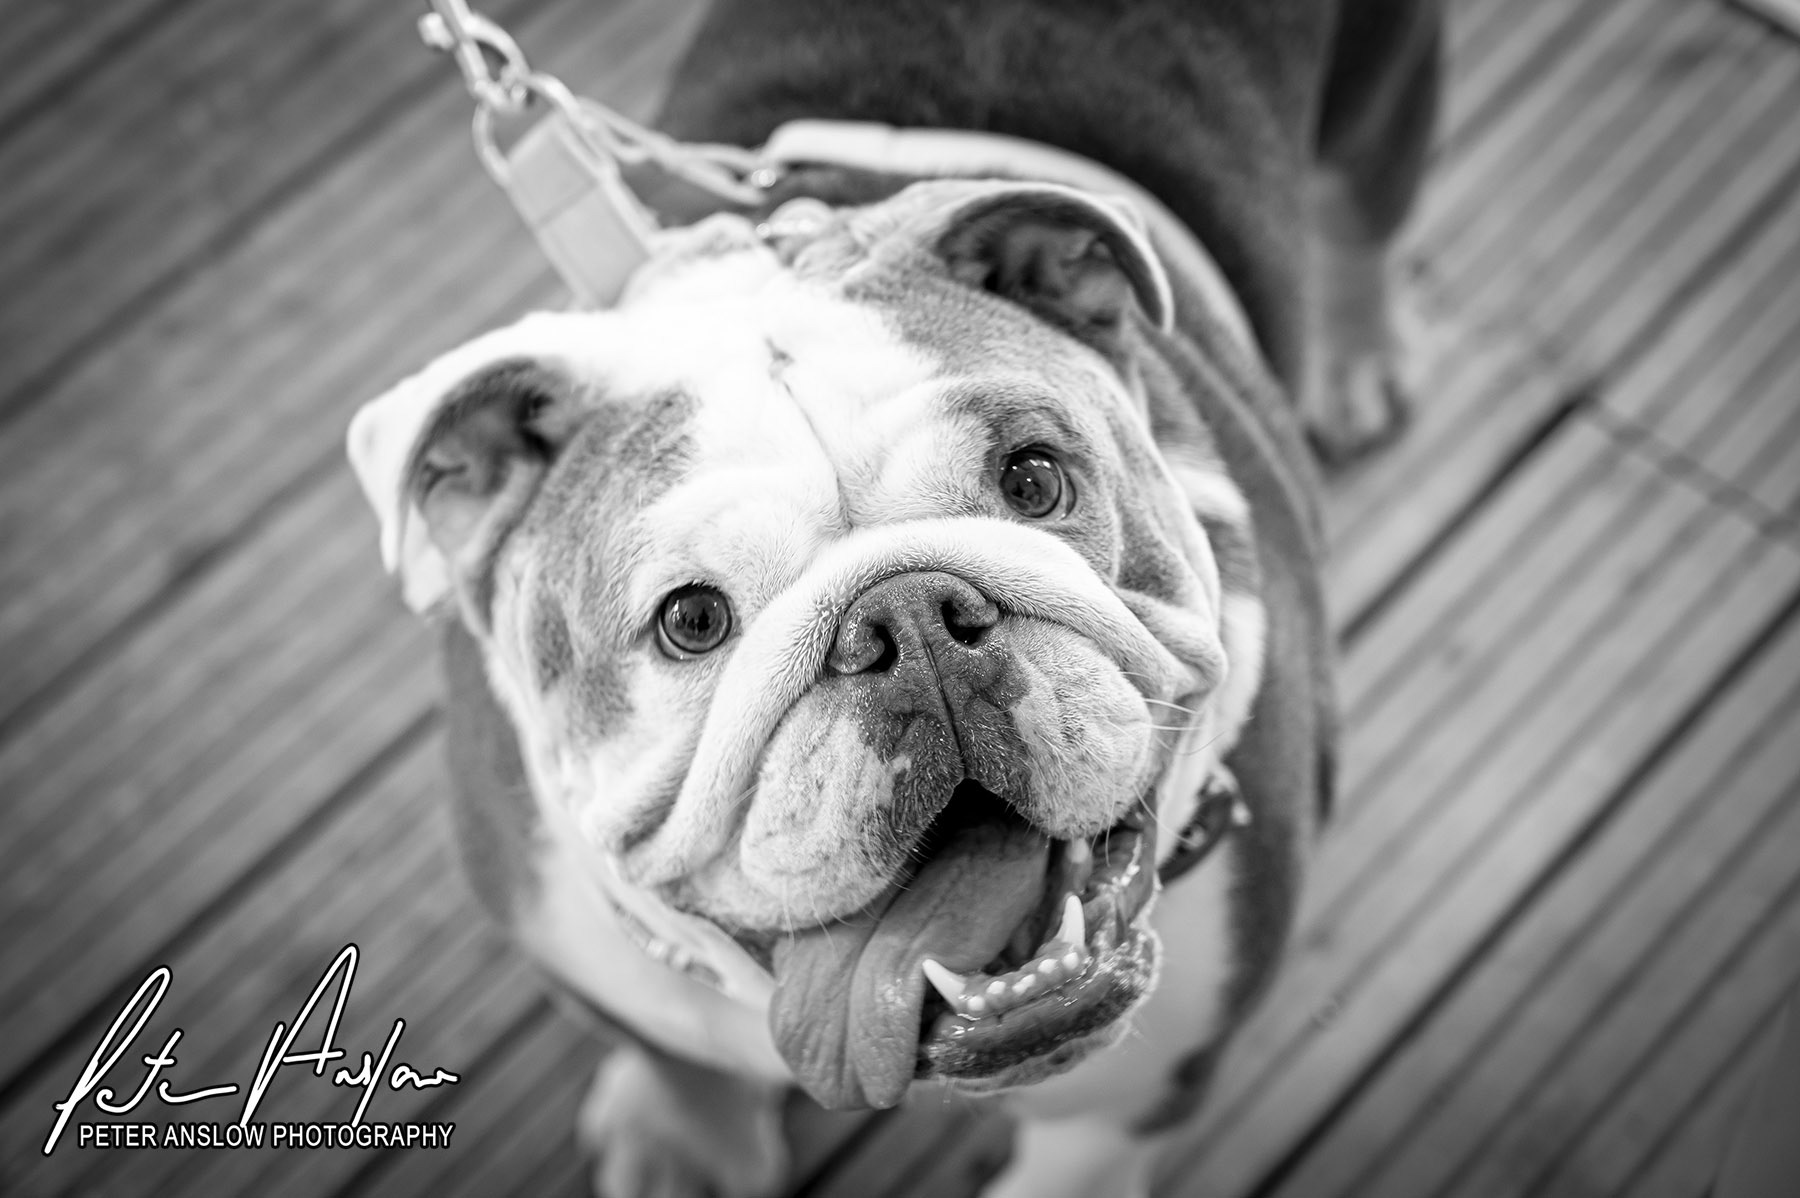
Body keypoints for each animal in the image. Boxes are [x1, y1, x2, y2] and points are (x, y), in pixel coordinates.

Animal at [347, 1, 1438, 1194]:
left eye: (1034, 479)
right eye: (692, 619)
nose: (912, 620)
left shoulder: (1122, 1108)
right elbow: (677, 1062)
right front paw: (684, 1145)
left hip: (1379, 82)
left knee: (1365, 203)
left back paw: (1356, 359)